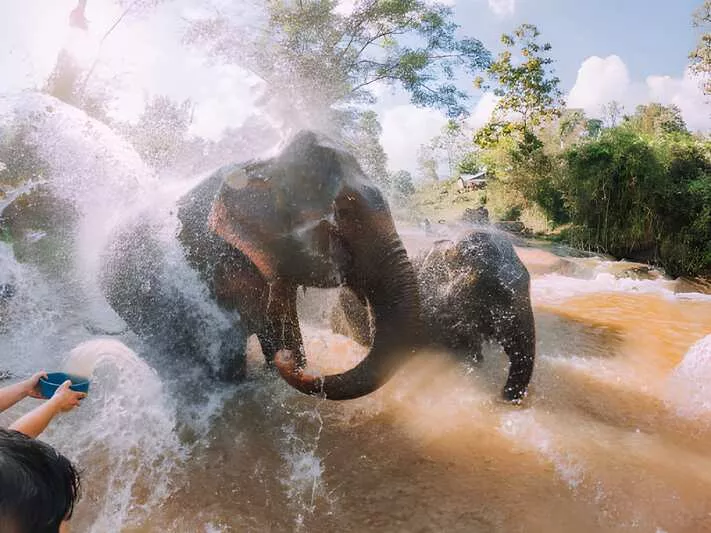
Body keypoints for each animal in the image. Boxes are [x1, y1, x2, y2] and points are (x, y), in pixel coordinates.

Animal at [100, 130, 423, 400]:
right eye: (340, 217)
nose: (285, 361)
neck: (264, 164)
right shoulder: (206, 263)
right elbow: (227, 355)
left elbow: (281, 327)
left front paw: (284, 356)